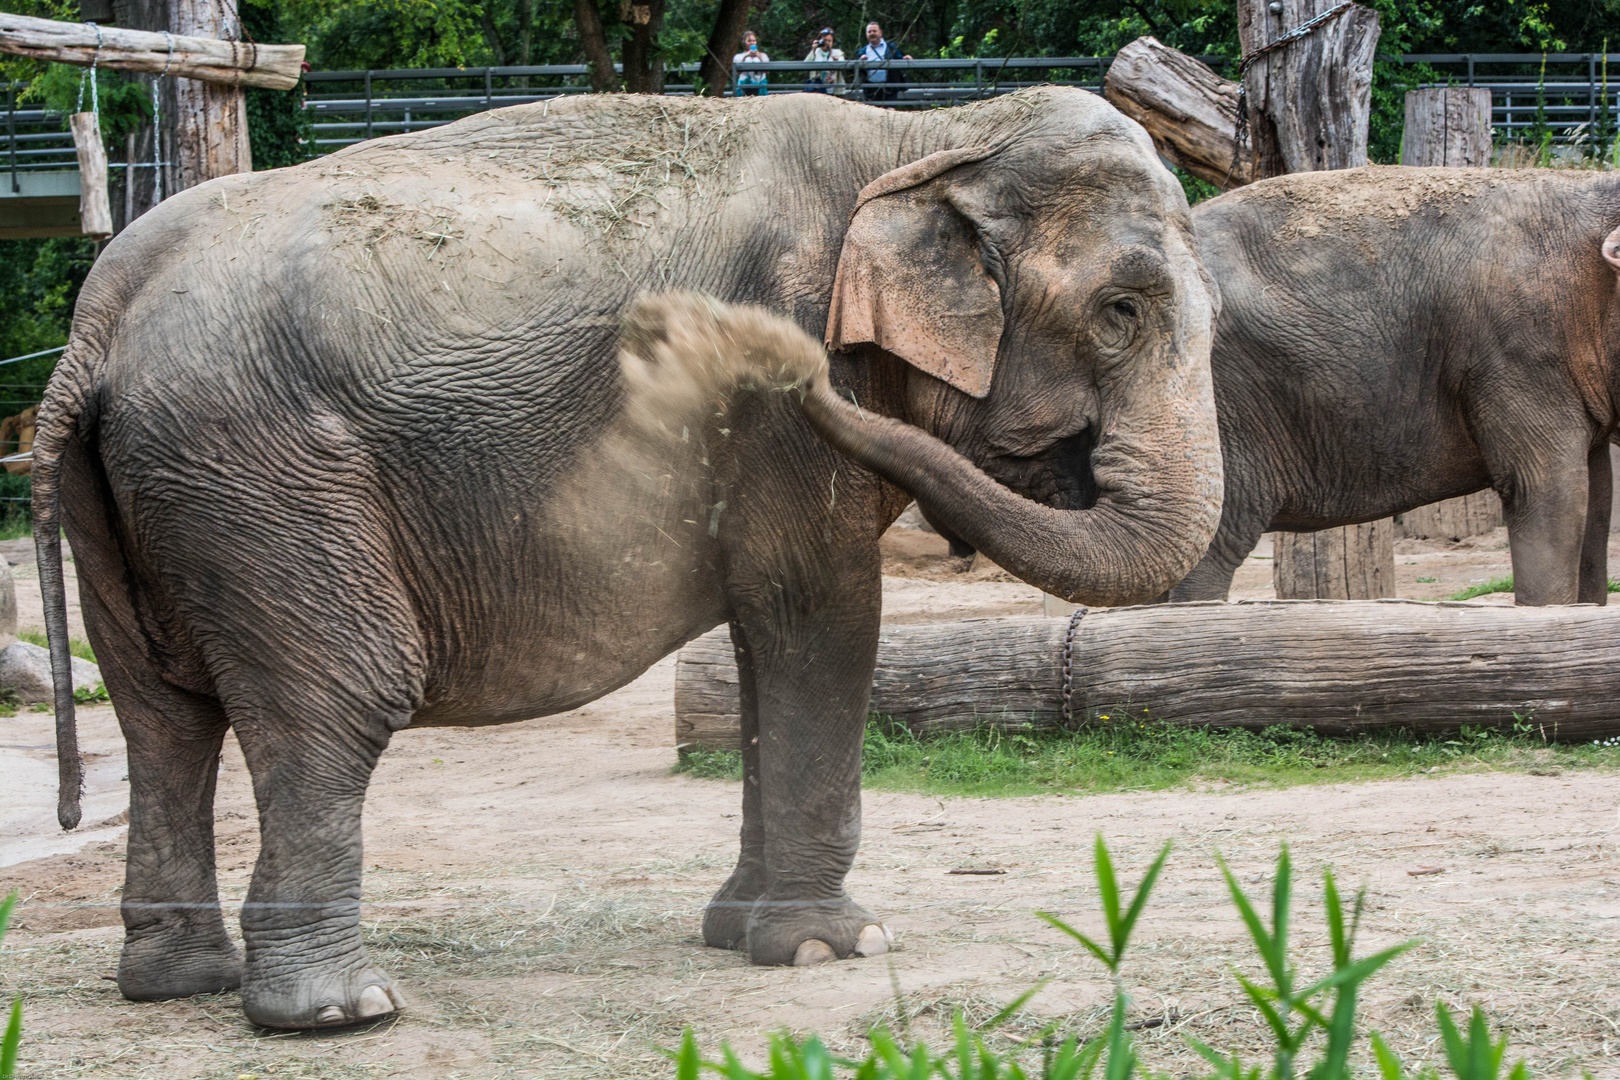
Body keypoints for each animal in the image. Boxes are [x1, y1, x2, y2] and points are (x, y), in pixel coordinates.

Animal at [31, 84, 1218, 1029]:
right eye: (1120, 312)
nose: (749, 354)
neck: (929, 133)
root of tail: (96, 324)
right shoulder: (774, 435)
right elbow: (818, 618)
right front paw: (829, 948)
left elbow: (764, 641)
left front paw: (742, 932)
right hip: (261, 476)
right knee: (336, 696)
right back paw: (339, 1012)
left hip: (152, 498)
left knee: (163, 714)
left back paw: (180, 983)